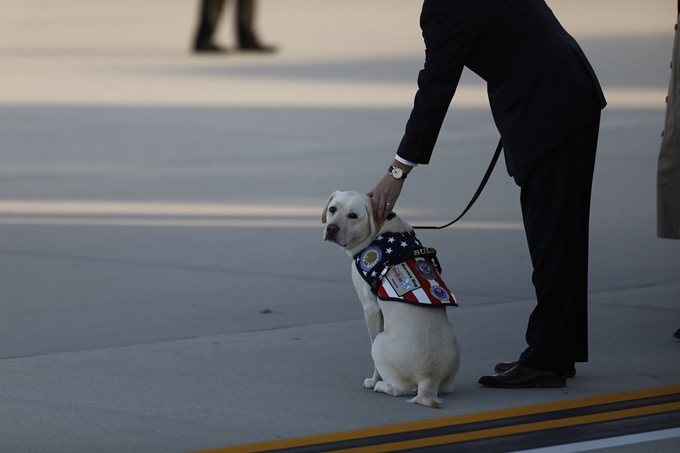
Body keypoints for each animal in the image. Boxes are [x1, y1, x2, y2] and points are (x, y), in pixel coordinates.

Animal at [322, 189, 460, 408]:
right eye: (332, 209)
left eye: (353, 215)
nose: (331, 228)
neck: (378, 231)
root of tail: (428, 380)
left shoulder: (370, 307)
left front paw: (373, 380)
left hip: (379, 343)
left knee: (398, 389)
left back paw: (381, 386)